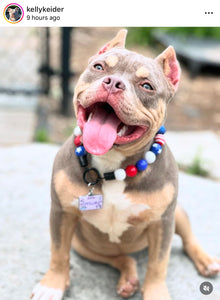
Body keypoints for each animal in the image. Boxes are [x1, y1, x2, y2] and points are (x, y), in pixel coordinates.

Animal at [31, 29, 220, 300]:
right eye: (99, 67)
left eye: (147, 86)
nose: (113, 82)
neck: (113, 165)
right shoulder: (62, 213)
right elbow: (58, 252)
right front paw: (53, 284)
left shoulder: (162, 222)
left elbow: (158, 263)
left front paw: (156, 292)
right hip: (85, 245)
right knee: (119, 257)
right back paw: (128, 278)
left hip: (177, 213)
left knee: (188, 239)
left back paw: (207, 260)